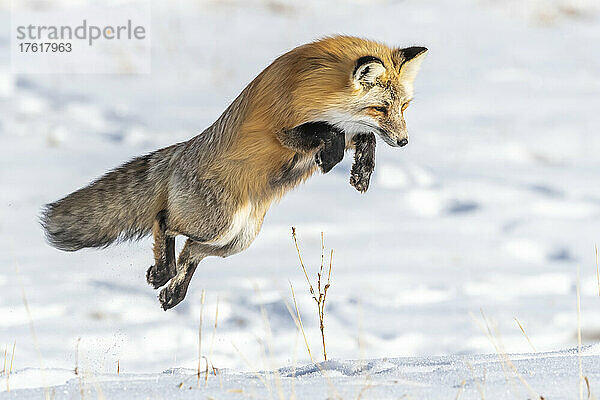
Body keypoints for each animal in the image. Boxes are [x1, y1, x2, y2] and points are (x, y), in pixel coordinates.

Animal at [42, 36, 426, 310]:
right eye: (380, 108)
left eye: (404, 107)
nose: (405, 141)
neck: (314, 84)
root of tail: (179, 153)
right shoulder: (281, 129)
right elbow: (327, 132)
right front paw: (331, 158)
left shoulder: (346, 129)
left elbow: (363, 137)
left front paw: (362, 172)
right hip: (216, 224)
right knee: (164, 222)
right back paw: (162, 272)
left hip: (236, 239)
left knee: (191, 253)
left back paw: (171, 291)